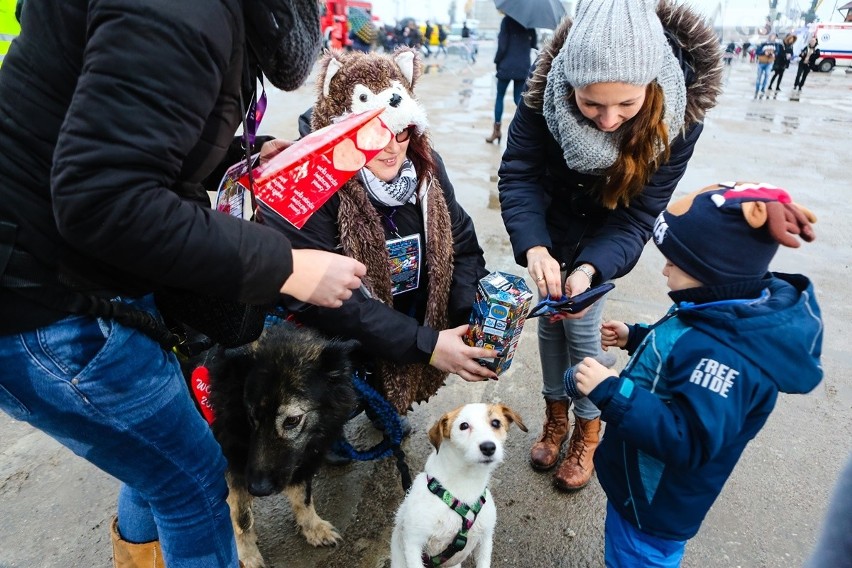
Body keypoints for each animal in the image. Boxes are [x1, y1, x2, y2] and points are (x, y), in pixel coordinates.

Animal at [183, 324, 360, 568]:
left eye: (292, 420)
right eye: (251, 417)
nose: (259, 489)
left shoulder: (301, 459)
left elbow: (304, 496)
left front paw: (313, 528)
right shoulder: (232, 470)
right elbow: (241, 517)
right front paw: (247, 555)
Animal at [392, 402, 524, 564]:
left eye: (496, 423)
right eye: (464, 425)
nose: (488, 447)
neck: (466, 482)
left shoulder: (486, 539)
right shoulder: (413, 543)